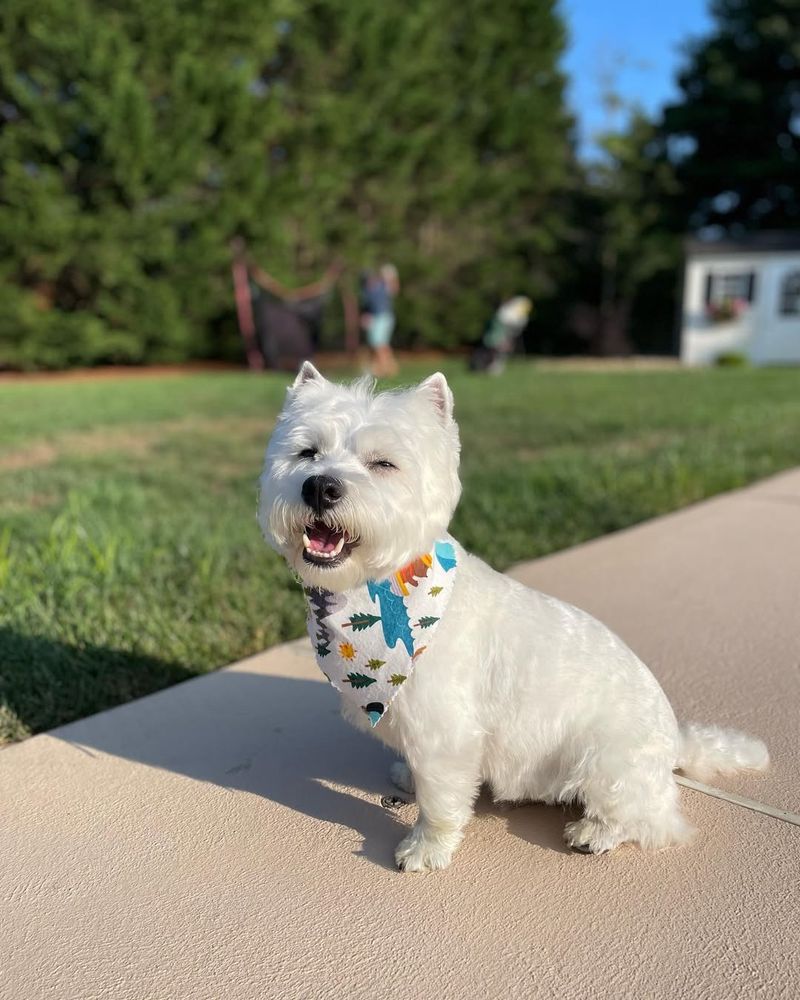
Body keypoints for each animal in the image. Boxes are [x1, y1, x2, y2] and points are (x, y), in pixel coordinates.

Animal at [258, 364, 768, 872]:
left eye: (383, 463)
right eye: (307, 452)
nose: (319, 486)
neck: (380, 585)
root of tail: (674, 741)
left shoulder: (447, 734)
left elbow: (440, 803)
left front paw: (426, 849)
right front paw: (407, 778)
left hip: (607, 759)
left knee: (653, 819)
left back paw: (594, 832)